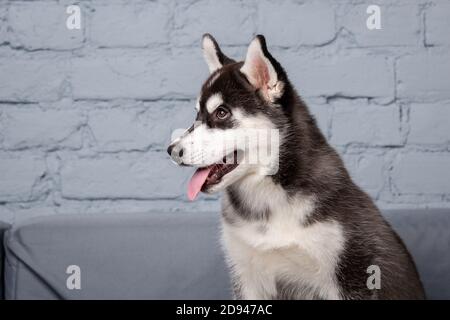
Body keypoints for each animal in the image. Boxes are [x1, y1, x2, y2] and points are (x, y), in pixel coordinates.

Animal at [168, 35, 426, 300]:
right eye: (197, 115)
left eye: (221, 113)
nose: (171, 150)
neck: (268, 196)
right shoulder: (246, 276)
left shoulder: (353, 275)